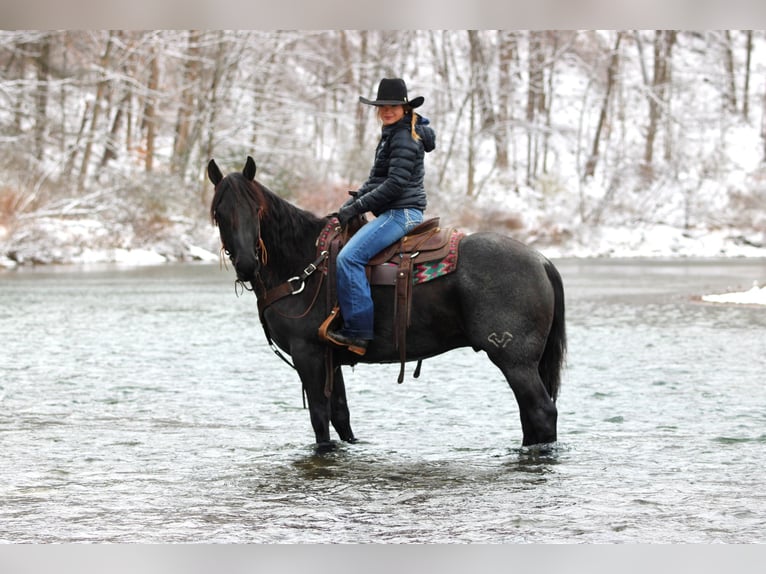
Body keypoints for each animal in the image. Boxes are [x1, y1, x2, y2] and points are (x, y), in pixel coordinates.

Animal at [207, 156, 566, 450]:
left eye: (256, 210)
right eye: (219, 213)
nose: (246, 263)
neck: (304, 262)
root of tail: (541, 260)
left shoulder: (307, 354)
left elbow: (320, 420)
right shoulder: (329, 359)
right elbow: (341, 416)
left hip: (514, 360)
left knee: (541, 411)